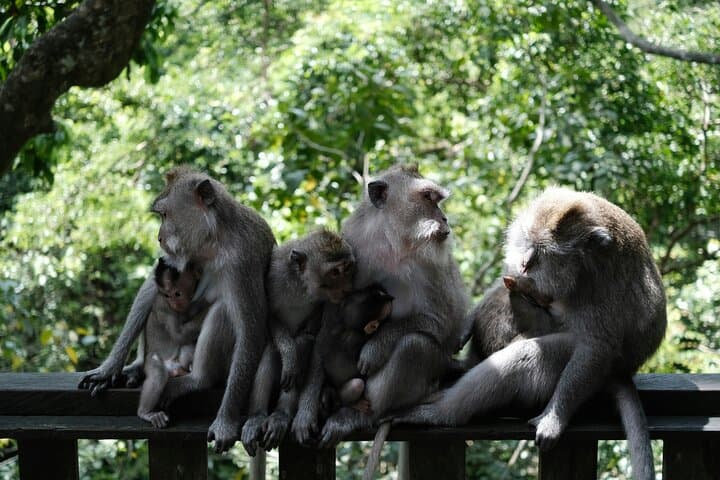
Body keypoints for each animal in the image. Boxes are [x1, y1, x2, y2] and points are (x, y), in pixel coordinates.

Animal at [137, 258, 208, 428]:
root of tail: (173, 369)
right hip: (152, 361)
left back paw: (189, 368)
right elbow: (178, 335)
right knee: (158, 373)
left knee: (187, 347)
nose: (175, 304)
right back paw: (145, 413)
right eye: (167, 295)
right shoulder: (164, 306)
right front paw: (207, 307)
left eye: (177, 293)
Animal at [240, 229, 355, 456]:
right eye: (335, 272)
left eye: (347, 268)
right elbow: (271, 317)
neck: (301, 286)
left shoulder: (324, 304)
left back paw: (281, 416)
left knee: (303, 348)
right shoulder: (274, 275)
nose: (347, 289)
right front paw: (289, 353)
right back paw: (257, 417)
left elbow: (311, 337)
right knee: (272, 350)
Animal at [392, 187, 666, 480]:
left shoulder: (599, 285)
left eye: (543, 251)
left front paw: (554, 418)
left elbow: (596, 348)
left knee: (529, 353)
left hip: (583, 365)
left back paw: (443, 413)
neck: (584, 265)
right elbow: (507, 281)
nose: (525, 262)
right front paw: (467, 323)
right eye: (526, 240)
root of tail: (623, 372)